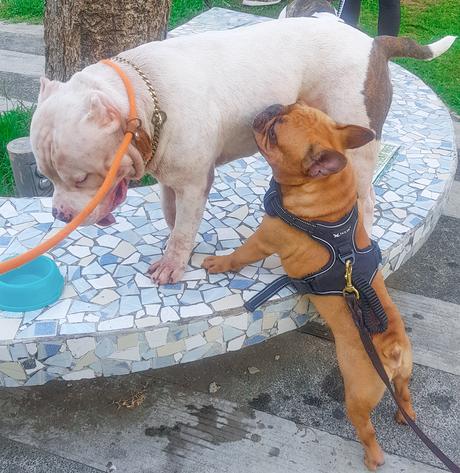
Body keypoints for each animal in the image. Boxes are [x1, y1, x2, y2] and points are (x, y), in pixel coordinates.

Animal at [30, 17, 454, 284]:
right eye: (44, 177)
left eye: (82, 178)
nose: (60, 215)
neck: (145, 94)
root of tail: (371, 42)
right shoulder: (172, 178)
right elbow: (173, 218)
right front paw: (177, 245)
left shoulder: (194, 181)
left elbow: (182, 228)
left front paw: (173, 264)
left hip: (359, 144)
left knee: (365, 197)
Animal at [203, 103, 416, 468]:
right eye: (291, 106)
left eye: (276, 133)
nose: (272, 107)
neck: (326, 192)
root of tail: (393, 347)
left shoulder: (265, 237)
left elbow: (240, 254)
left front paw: (219, 263)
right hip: (404, 374)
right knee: (405, 393)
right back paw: (406, 415)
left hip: (358, 396)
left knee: (367, 429)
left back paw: (373, 458)